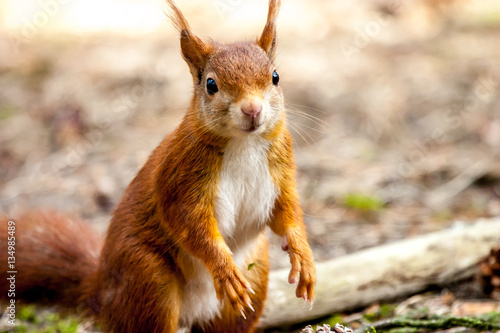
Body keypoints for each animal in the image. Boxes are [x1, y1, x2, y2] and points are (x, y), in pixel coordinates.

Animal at [0, 1, 316, 330]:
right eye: (211, 84)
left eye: (275, 76)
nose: (252, 110)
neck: (244, 143)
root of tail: (101, 294)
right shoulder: (181, 179)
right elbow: (192, 226)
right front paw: (223, 268)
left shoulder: (281, 171)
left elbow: (287, 213)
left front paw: (303, 256)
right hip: (150, 280)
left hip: (253, 278)